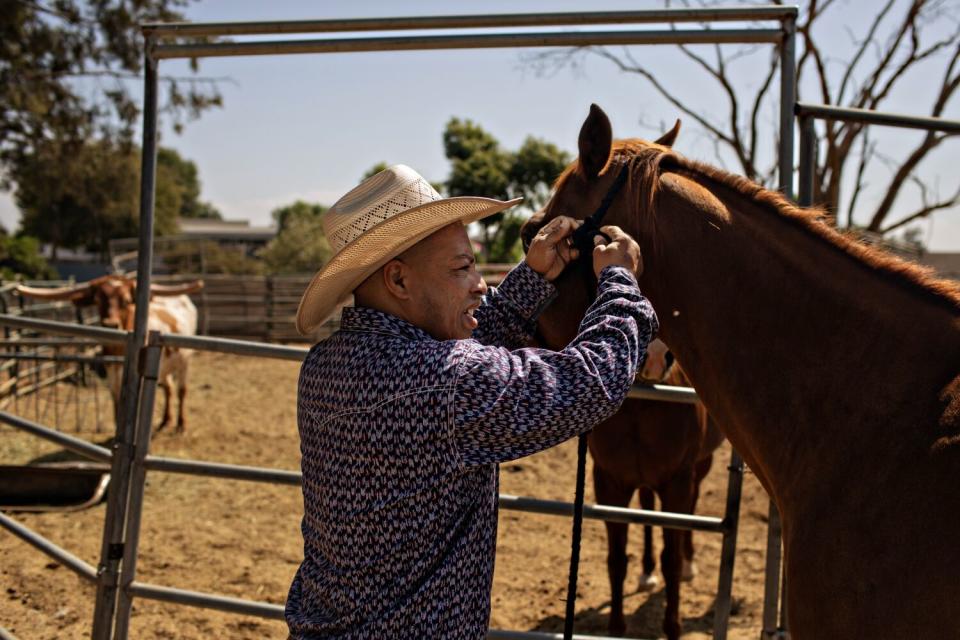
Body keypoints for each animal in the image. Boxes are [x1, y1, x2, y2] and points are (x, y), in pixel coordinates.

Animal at [17, 276, 204, 436]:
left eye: (126, 301)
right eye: (98, 300)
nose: (110, 325)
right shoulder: (112, 376)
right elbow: (117, 402)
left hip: (185, 362)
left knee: (182, 390)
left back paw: (181, 425)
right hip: (164, 367)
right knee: (169, 388)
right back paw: (165, 422)